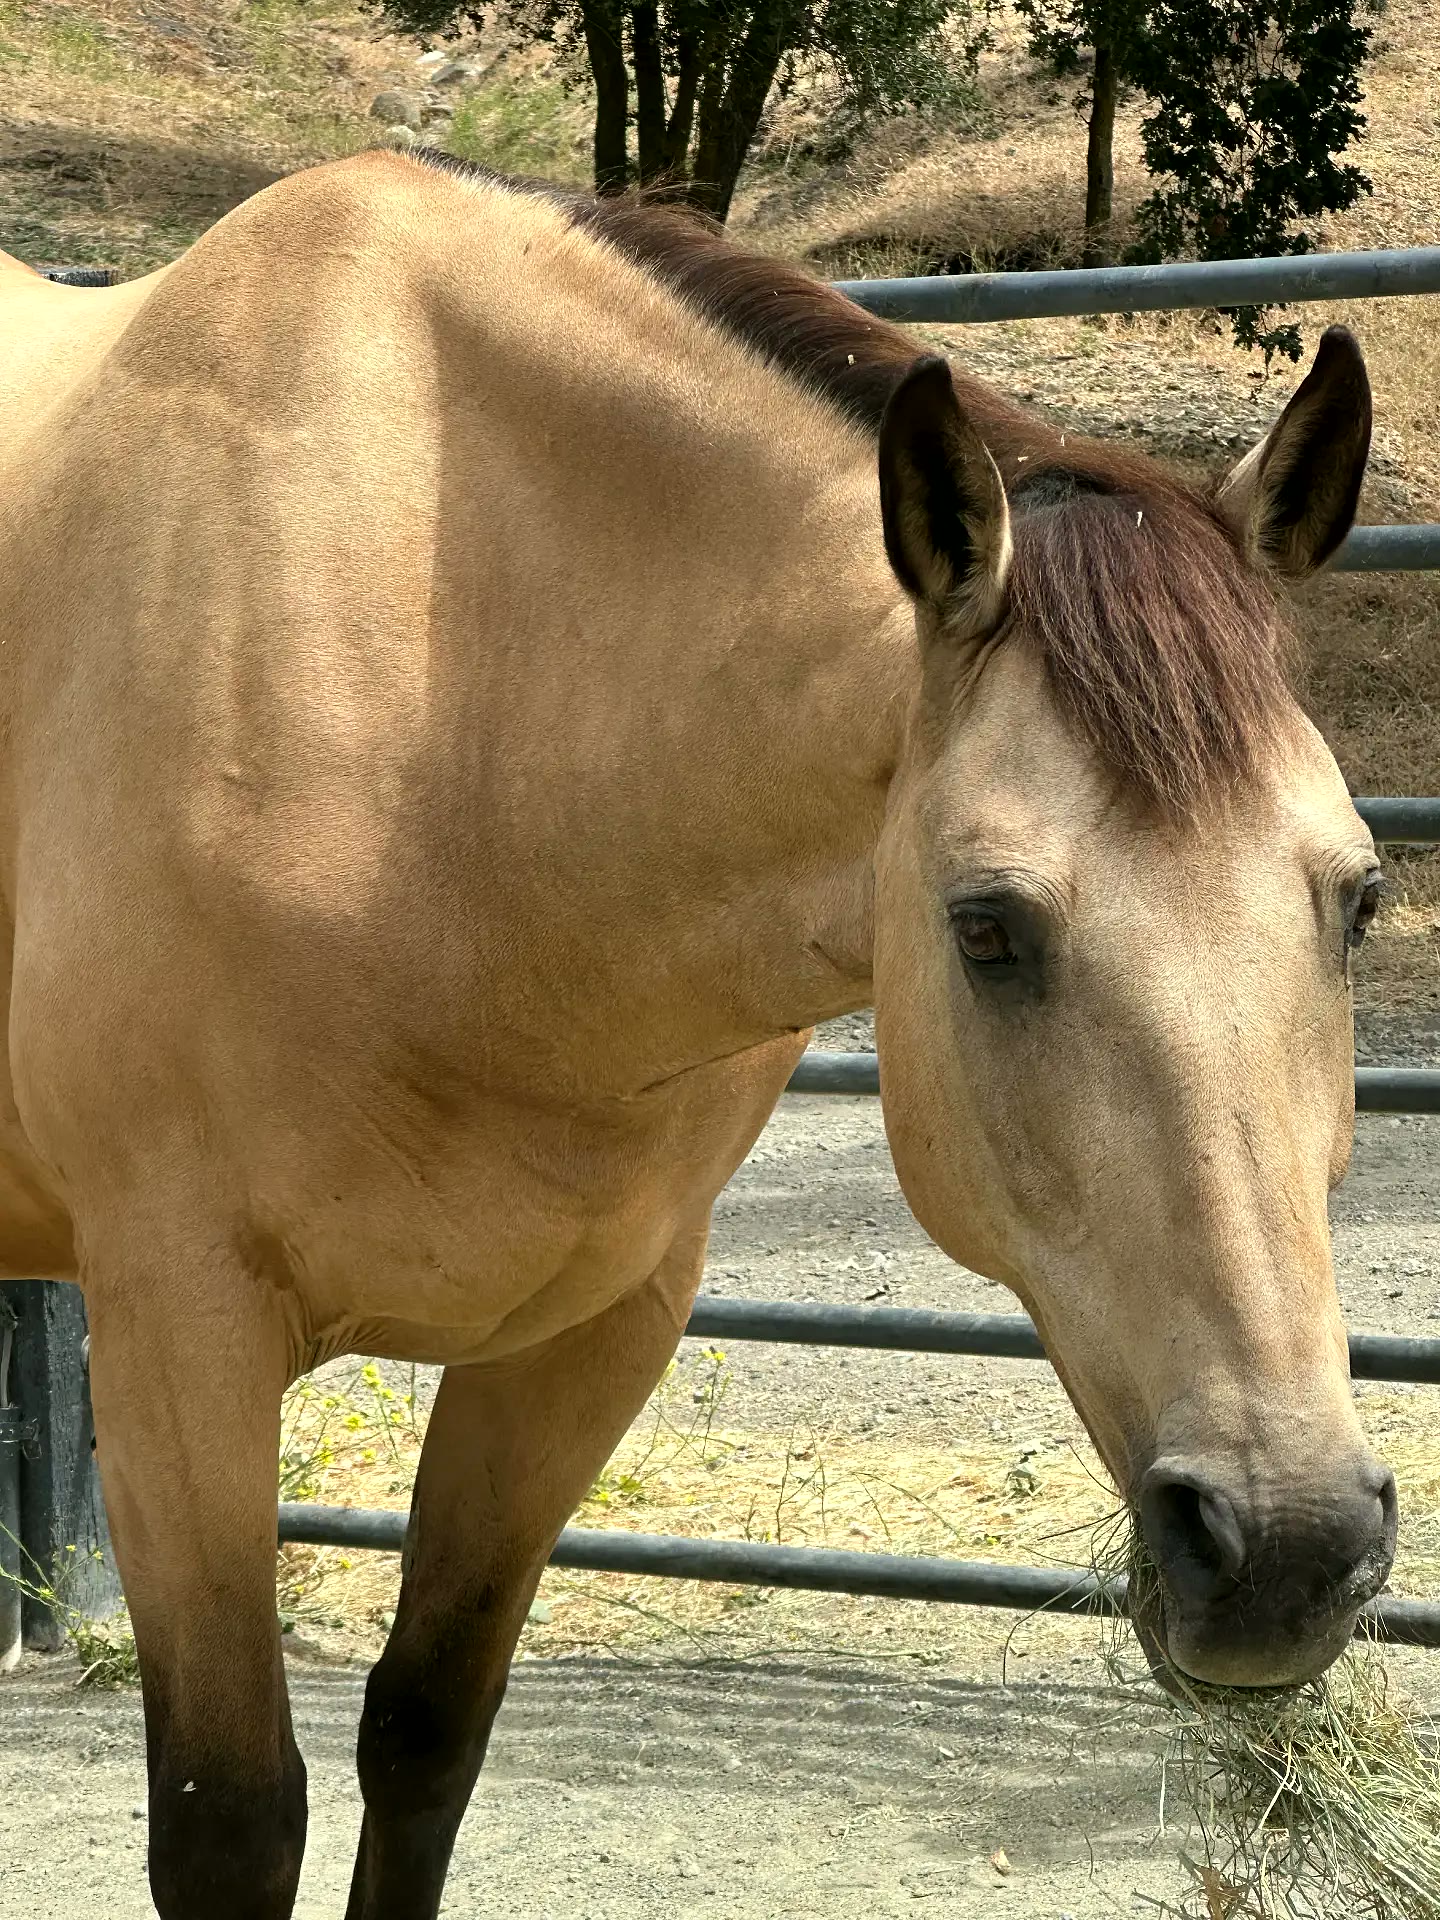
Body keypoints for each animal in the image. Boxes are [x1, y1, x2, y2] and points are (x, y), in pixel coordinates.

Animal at [0, 149, 1393, 1920]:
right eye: (987, 929)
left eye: (1358, 899)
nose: (1286, 1544)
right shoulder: (181, 1343)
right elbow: (231, 1819)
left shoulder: (587, 1337)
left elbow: (426, 1738)